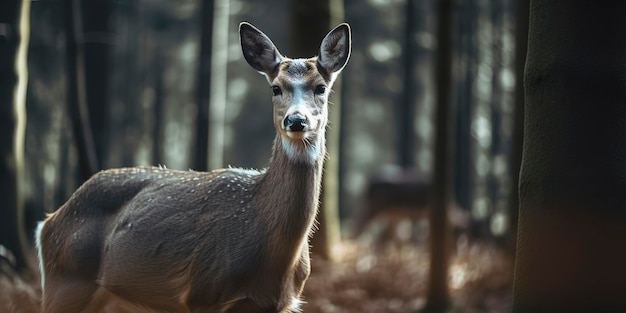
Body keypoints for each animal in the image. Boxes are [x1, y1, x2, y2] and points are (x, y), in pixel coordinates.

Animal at [35, 22, 352, 312]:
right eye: (276, 88)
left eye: (321, 88)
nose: (296, 120)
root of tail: (47, 223)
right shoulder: (203, 292)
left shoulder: (281, 303)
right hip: (65, 278)